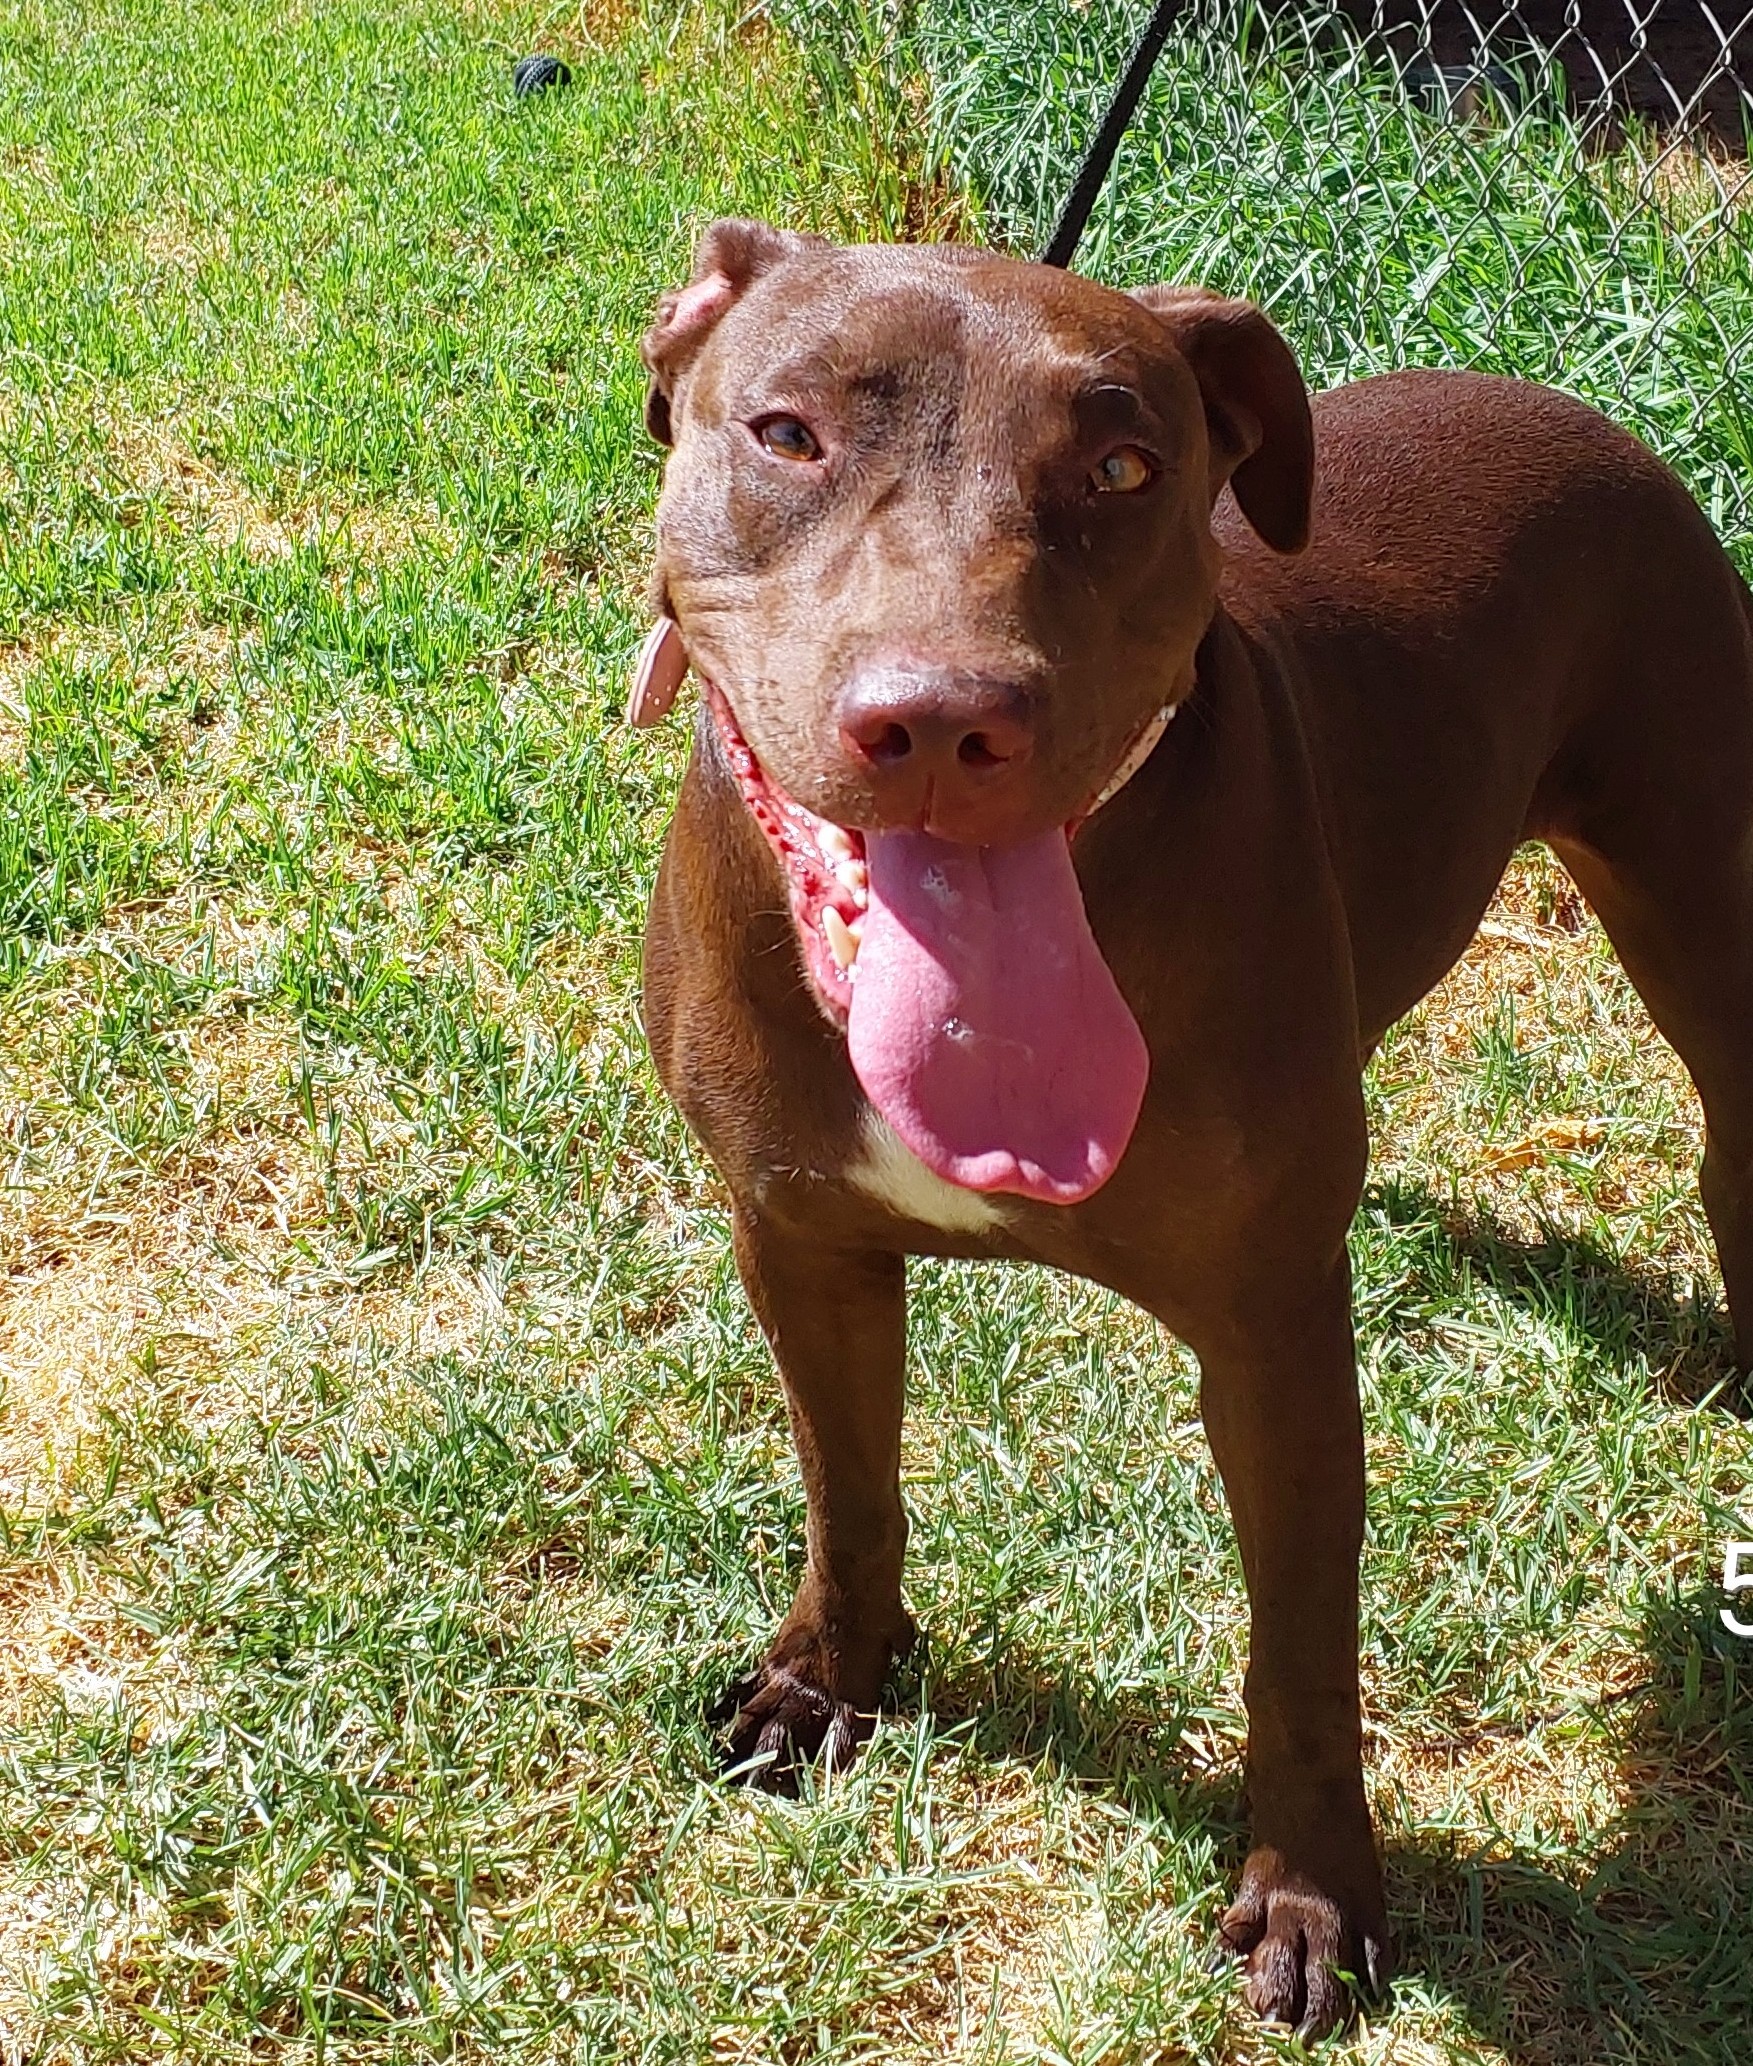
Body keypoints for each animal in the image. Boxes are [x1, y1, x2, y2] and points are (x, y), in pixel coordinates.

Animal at [632, 222, 1752, 2032]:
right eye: (787, 434)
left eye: (1119, 467)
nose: (940, 718)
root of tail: (1569, 402)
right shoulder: (797, 1238)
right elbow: (845, 1482)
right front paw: (829, 1678)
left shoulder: (1269, 1337)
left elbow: (1297, 1638)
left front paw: (1308, 1892)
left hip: (1696, 888)